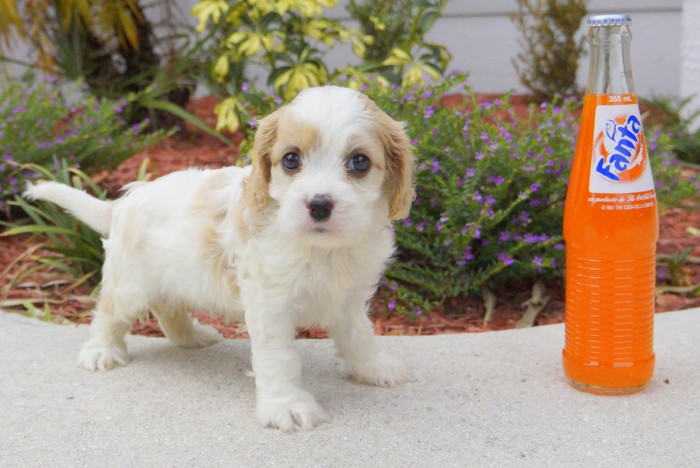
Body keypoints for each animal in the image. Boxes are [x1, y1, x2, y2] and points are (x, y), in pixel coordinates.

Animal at [26, 87, 416, 432]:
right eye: (291, 159)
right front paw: (286, 406)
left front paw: (373, 367)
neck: (323, 249)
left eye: (359, 162)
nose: (319, 204)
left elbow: (359, 335)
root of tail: (124, 201)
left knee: (168, 308)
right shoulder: (270, 305)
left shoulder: (348, 297)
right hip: (130, 284)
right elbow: (280, 358)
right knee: (109, 311)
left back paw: (191, 337)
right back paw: (101, 350)